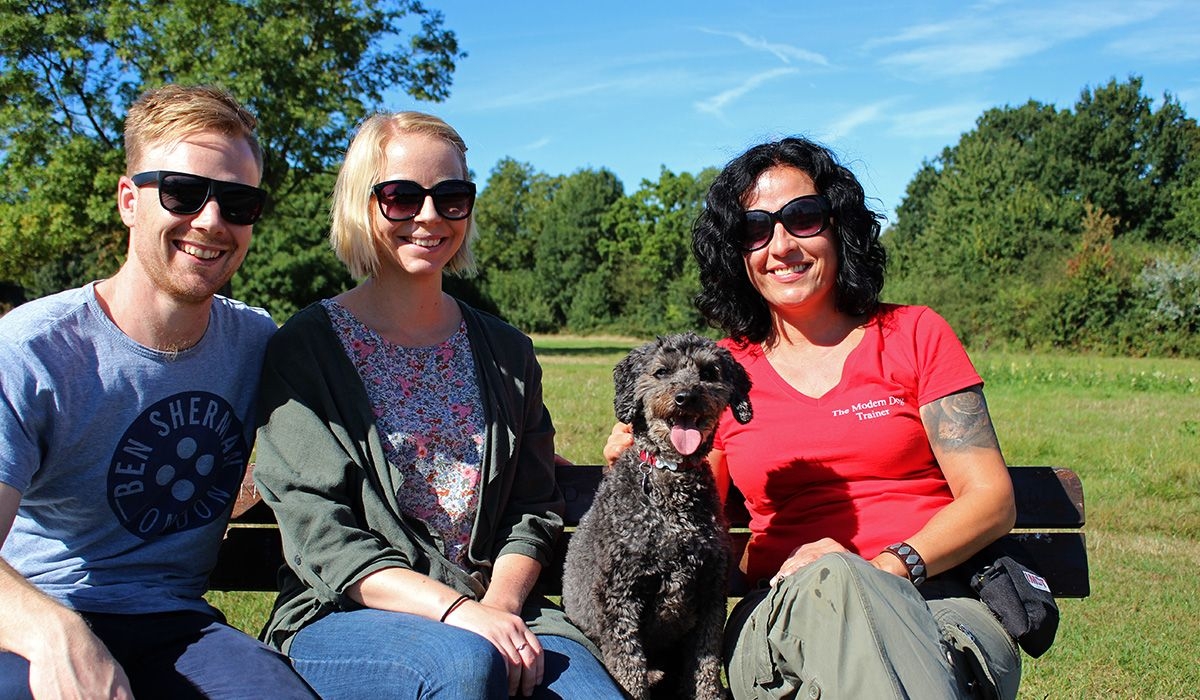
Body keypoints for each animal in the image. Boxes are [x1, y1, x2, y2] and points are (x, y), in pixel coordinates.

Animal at [561, 333, 748, 700]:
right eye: (661, 371)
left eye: (709, 372)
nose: (685, 396)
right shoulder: (620, 597)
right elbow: (629, 671)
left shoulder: (710, 593)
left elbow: (706, 667)